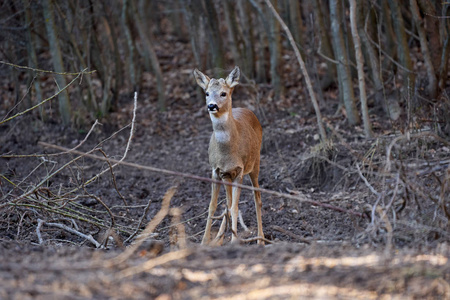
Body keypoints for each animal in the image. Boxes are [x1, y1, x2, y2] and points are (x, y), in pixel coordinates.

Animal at [192, 67, 264, 245]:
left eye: (223, 93)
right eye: (207, 93)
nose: (211, 105)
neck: (226, 152)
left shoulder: (239, 170)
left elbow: (235, 207)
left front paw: (234, 240)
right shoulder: (217, 171)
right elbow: (213, 205)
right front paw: (205, 241)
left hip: (255, 163)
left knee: (257, 198)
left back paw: (261, 239)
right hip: (227, 176)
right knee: (228, 202)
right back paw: (219, 237)